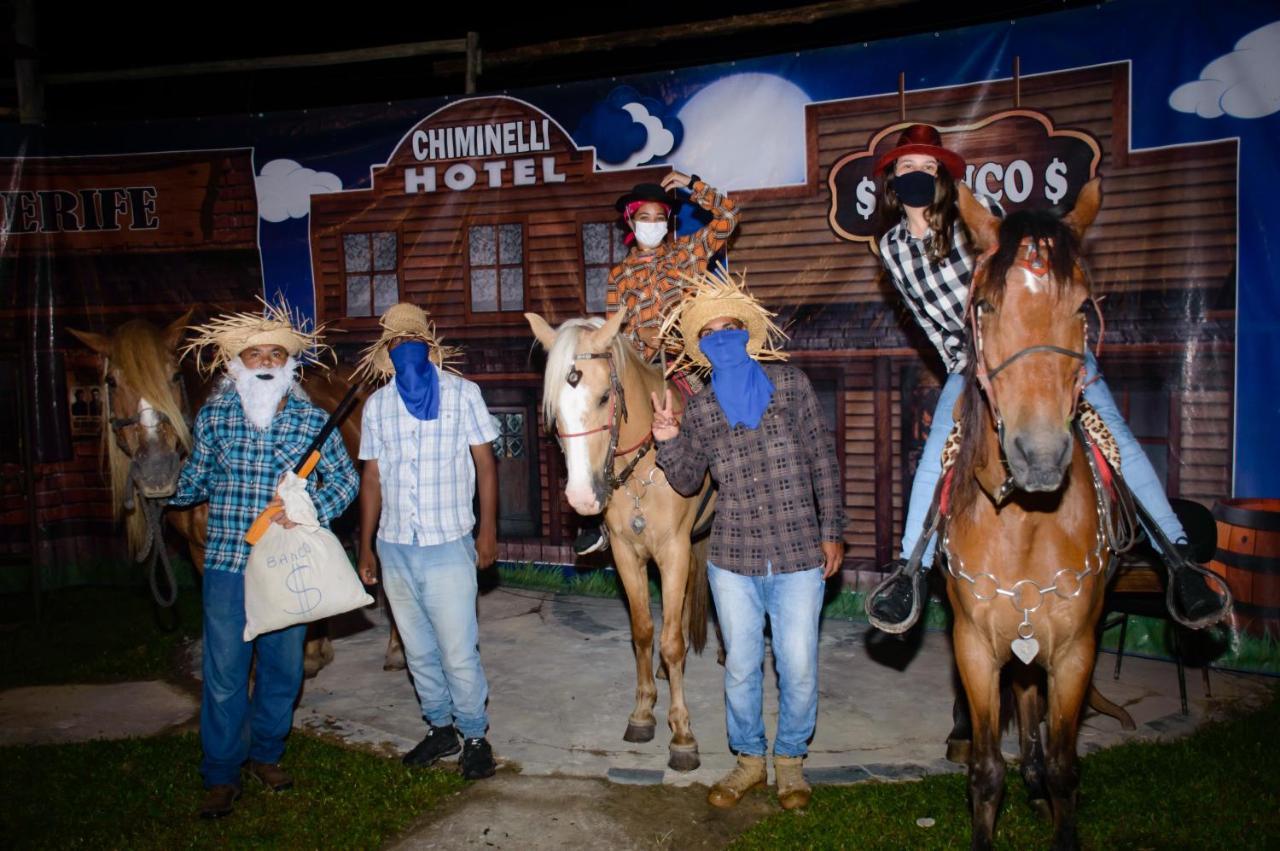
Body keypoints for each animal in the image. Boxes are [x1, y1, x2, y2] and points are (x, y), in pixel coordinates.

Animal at [67, 312, 404, 675]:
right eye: (111, 382)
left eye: (174, 375)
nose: (157, 470)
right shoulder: (200, 552)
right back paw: (315, 650)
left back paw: (395, 648)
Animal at [524, 307, 716, 767]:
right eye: (553, 409)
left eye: (603, 398)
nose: (582, 497)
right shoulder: (628, 554)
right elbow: (645, 631)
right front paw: (644, 713)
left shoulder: (673, 551)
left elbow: (670, 640)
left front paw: (682, 734)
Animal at [947, 175, 1126, 844]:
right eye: (984, 307)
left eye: (1082, 307)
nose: (1042, 455)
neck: (1024, 525)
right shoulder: (973, 645)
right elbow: (985, 772)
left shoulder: (1076, 652)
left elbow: (1064, 767)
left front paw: (1055, 806)